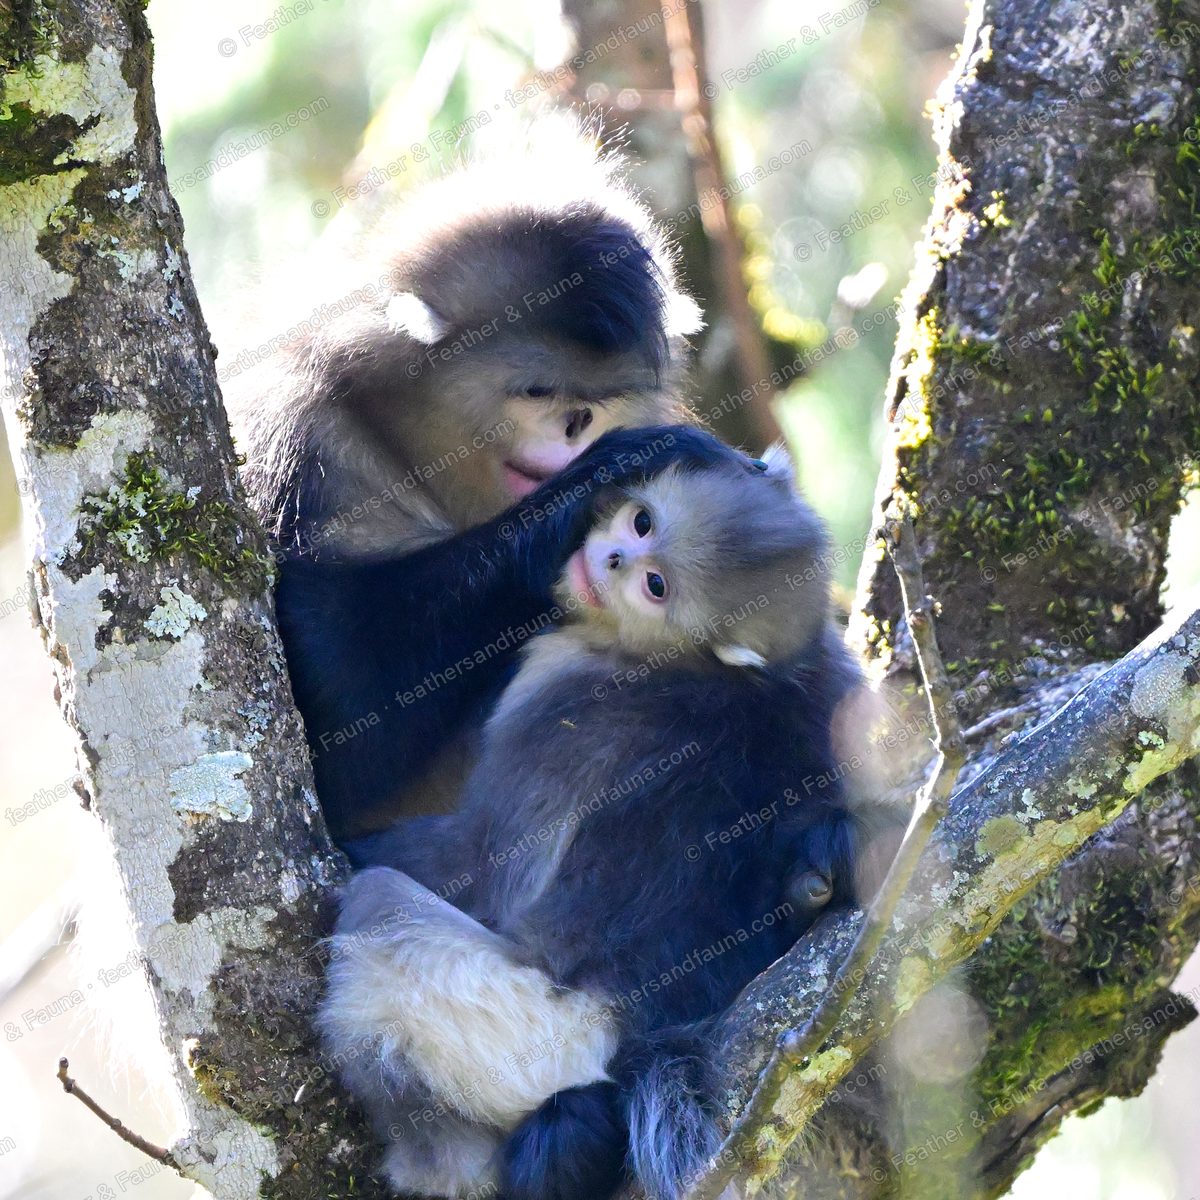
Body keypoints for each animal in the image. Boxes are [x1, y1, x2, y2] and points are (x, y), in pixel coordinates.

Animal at [224, 130, 747, 839]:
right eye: (538, 391)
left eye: (600, 400)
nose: (578, 424)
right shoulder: (288, 434)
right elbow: (334, 698)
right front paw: (599, 480)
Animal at [319, 448, 872, 1200]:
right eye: (642, 522)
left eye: (655, 586)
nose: (610, 557)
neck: (697, 666)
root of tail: (629, 1034)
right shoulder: (832, 682)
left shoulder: (556, 683)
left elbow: (483, 861)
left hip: (519, 1029)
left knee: (380, 905)